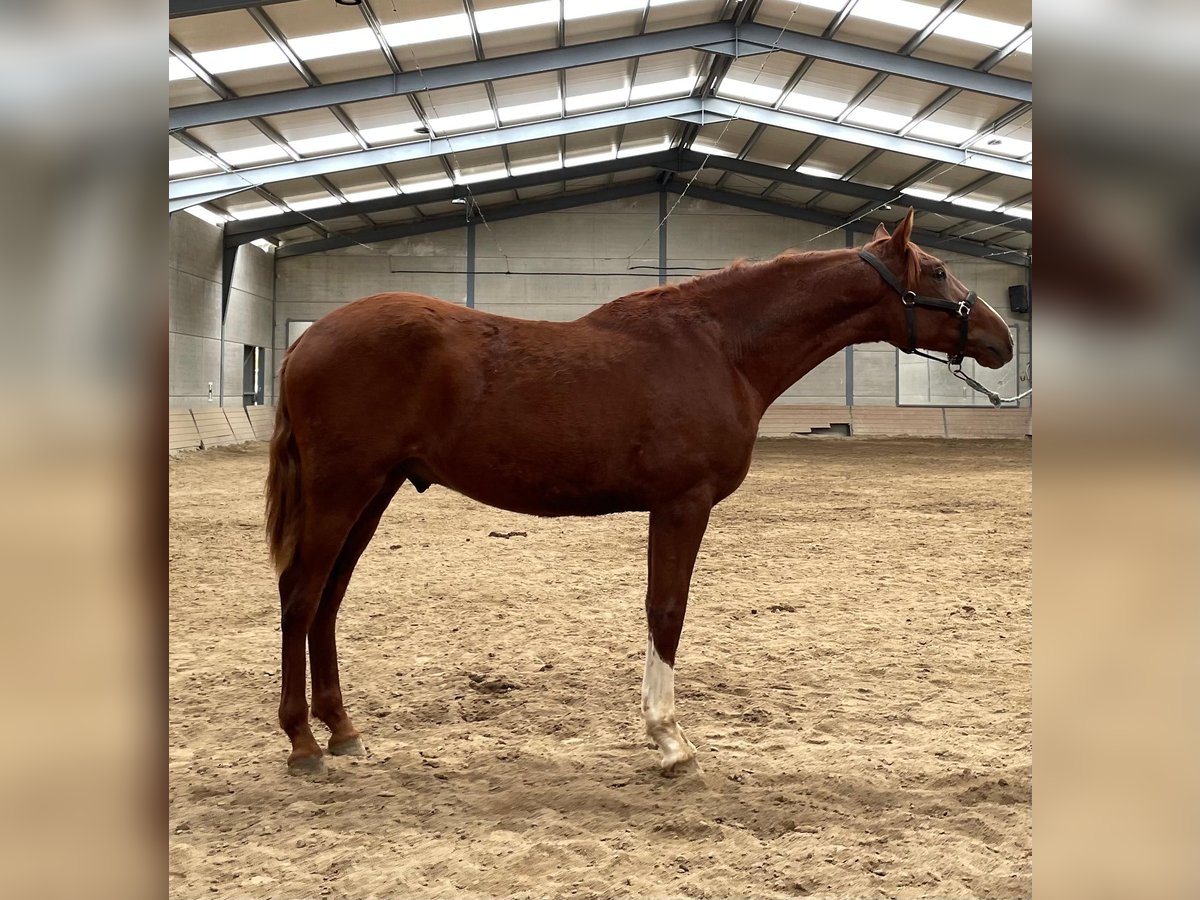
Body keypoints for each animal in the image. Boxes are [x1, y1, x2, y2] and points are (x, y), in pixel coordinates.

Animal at [265, 210, 1014, 776]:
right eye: (938, 271)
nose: (1002, 339)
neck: (720, 348)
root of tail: (305, 342)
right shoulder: (683, 503)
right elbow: (667, 611)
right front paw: (671, 741)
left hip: (374, 492)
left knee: (329, 599)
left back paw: (343, 730)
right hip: (342, 489)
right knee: (301, 596)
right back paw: (304, 743)